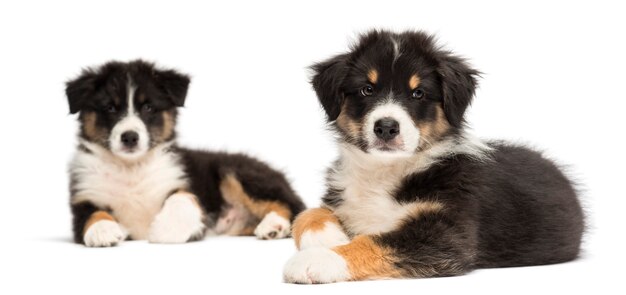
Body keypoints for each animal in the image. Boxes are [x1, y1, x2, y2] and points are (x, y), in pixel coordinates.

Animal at [66, 60, 304, 247]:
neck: (131, 167)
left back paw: (274, 225)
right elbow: (91, 214)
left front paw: (166, 229)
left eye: (148, 107)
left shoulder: (182, 180)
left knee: (292, 204)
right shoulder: (84, 196)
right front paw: (103, 230)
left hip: (236, 172)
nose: (130, 137)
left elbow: (182, 197)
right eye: (110, 108)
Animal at [280, 30, 584, 284]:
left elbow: (374, 242)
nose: (386, 127)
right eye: (367, 89)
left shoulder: (446, 234)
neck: (386, 171)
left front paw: (318, 259)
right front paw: (327, 237)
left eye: (418, 93)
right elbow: (307, 213)